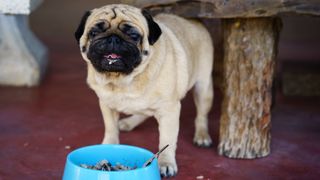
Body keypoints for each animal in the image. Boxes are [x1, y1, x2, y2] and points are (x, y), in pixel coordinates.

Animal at [75, 4, 214, 177]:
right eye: (94, 33)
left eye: (133, 35)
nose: (113, 38)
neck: (124, 80)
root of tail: (196, 21)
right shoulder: (106, 105)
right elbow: (111, 128)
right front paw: (108, 144)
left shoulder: (169, 110)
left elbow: (167, 139)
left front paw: (165, 163)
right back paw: (129, 122)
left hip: (203, 87)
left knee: (201, 115)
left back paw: (202, 135)